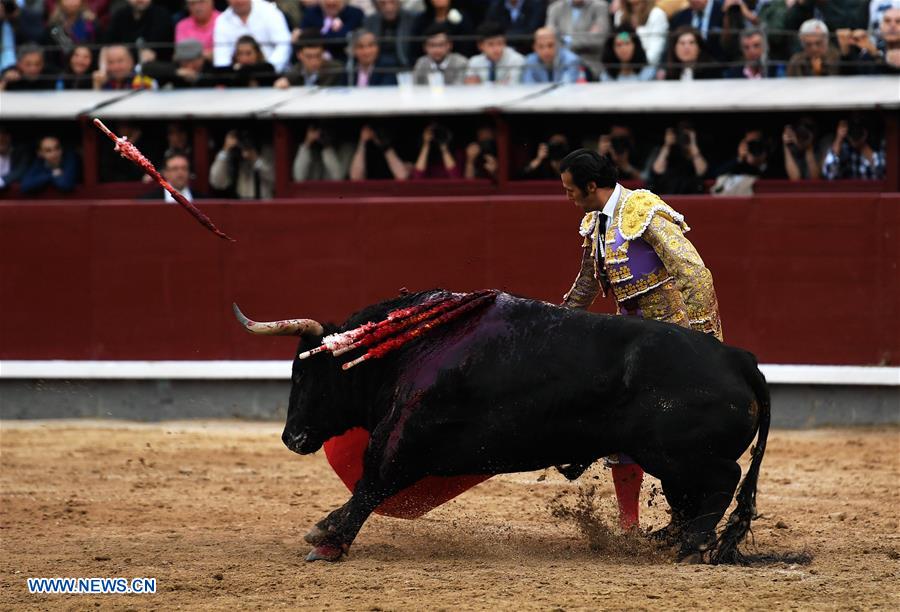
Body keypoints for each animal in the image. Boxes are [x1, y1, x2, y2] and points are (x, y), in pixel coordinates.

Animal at [237, 290, 768, 564]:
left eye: (303, 373)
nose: (291, 437)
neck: (416, 350)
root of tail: (738, 358)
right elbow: (371, 486)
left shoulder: (405, 439)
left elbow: (371, 484)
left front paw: (327, 538)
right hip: (671, 458)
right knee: (694, 494)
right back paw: (677, 541)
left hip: (678, 453)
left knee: (722, 480)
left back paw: (694, 546)